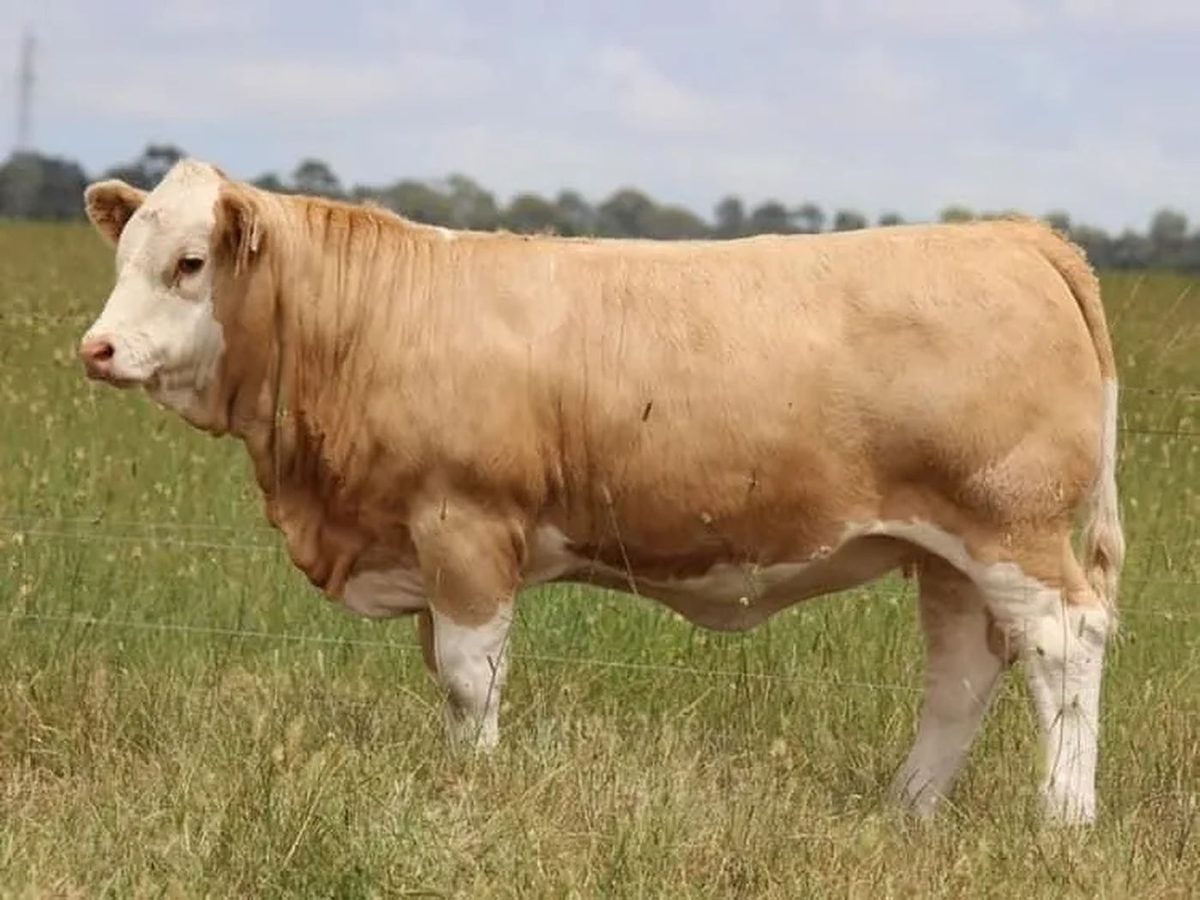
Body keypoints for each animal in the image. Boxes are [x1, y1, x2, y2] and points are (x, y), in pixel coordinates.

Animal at [77, 159, 1124, 825]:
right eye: (124, 257)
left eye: (190, 263)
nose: (99, 347)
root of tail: (1016, 238)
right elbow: (447, 678)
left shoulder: (465, 526)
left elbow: (470, 675)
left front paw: (478, 789)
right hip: (948, 552)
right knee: (962, 674)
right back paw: (906, 813)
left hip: (1013, 529)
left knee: (1065, 643)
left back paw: (1063, 817)